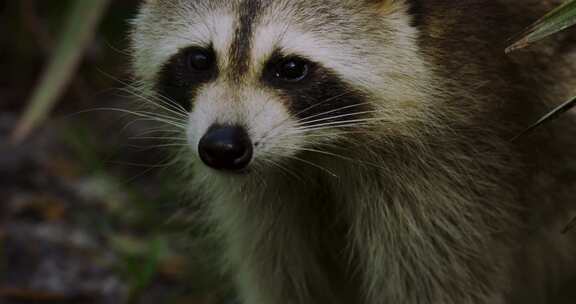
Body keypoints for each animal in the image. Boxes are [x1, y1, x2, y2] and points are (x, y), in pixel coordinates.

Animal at [128, 0, 576, 304]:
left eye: (291, 68)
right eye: (199, 59)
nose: (222, 147)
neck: (316, 150)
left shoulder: (461, 164)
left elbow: (438, 285)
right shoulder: (268, 195)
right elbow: (285, 277)